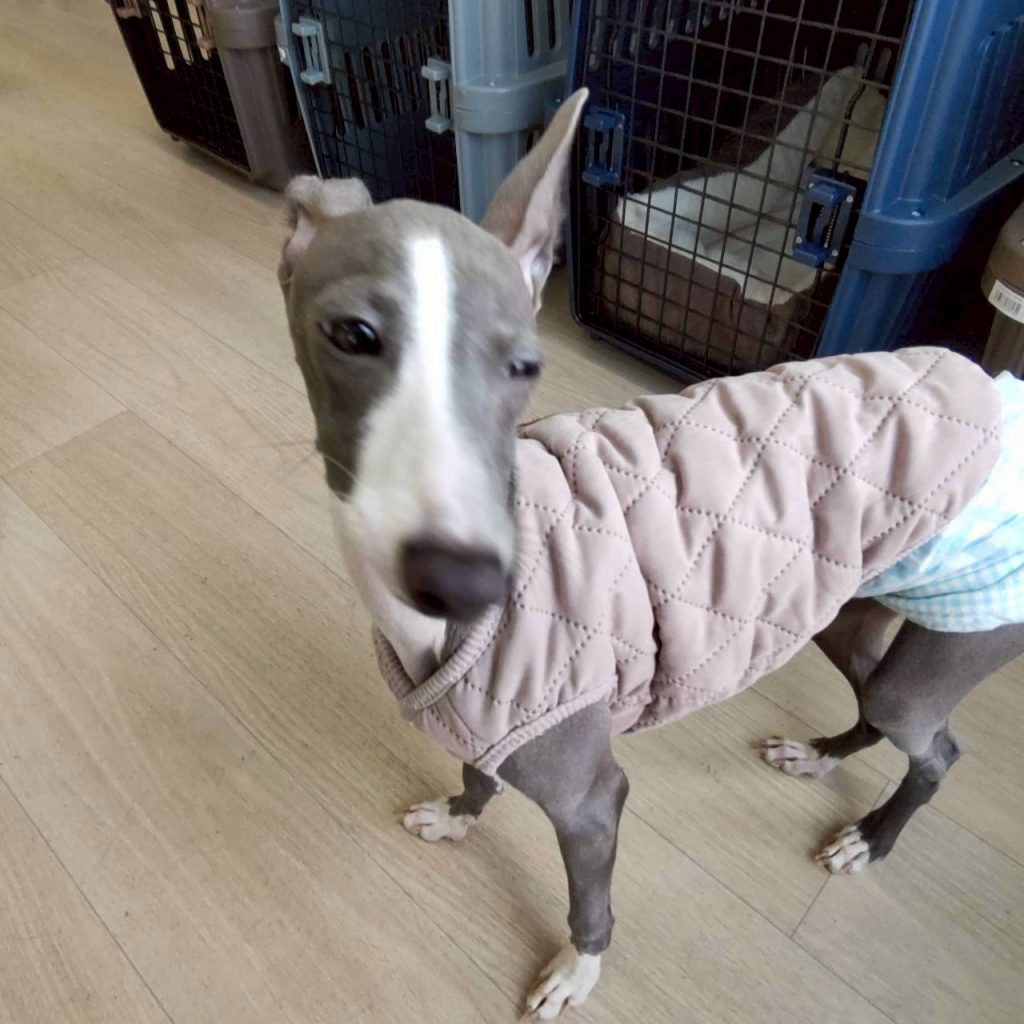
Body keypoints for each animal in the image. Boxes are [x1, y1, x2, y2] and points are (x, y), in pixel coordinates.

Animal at [278, 89, 1024, 1018]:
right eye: (352, 333)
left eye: (526, 365)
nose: (466, 581)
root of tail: (1002, 393)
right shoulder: (490, 723)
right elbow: (480, 775)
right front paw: (459, 815)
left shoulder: (589, 796)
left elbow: (588, 899)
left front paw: (578, 970)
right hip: (840, 610)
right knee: (880, 705)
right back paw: (819, 755)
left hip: (952, 640)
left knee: (933, 748)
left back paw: (872, 838)